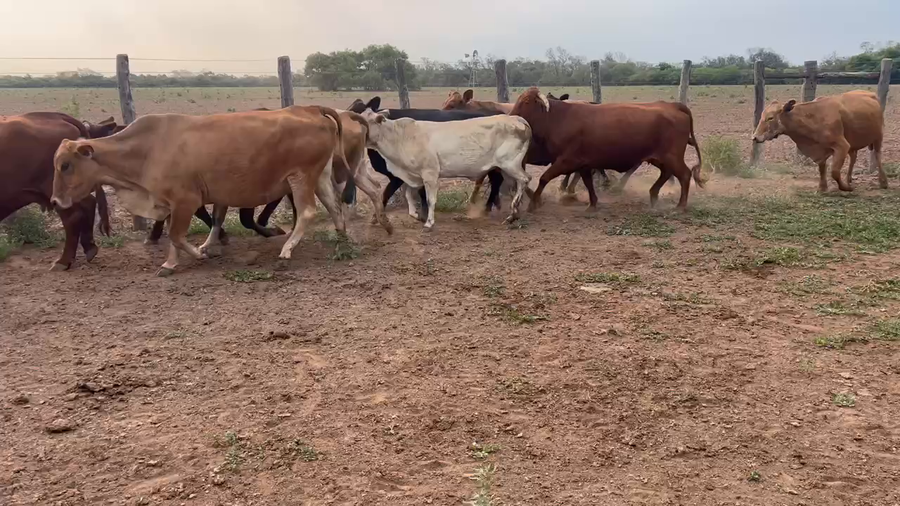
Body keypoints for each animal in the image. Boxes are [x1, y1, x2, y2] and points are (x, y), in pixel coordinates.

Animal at [0, 112, 113, 270]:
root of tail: (56, 116)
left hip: (57, 192)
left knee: (73, 217)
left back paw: (63, 261)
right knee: (88, 204)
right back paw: (89, 248)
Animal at [50, 106, 345, 276]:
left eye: (65, 165)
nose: (54, 201)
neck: (148, 148)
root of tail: (311, 111)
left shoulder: (185, 200)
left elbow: (176, 235)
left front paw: (197, 255)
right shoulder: (173, 202)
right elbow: (186, 231)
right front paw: (174, 262)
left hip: (300, 177)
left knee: (307, 212)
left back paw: (287, 250)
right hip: (319, 176)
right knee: (335, 205)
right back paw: (342, 238)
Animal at [358, 108, 532, 229]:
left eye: (364, 122)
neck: (400, 137)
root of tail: (515, 118)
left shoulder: (430, 174)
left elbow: (430, 199)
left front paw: (429, 222)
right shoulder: (412, 175)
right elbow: (408, 194)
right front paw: (415, 214)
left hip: (510, 164)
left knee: (525, 180)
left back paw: (513, 212)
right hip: (503, 168)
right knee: (513, 185)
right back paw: (512, 214)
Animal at [509, 87, 704, 210]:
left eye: (526, 101)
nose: (510, 115)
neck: (559, 118)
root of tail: (674, 105)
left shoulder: (566, 160)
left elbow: (544, 178)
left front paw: (533, 203)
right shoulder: (582, 163)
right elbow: (587, 182)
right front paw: (592, 204)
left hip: (672, 156)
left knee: (684, 175)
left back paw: (680, 205)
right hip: (660, 158)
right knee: (666, 173)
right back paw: (653, 195)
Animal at [751, 90, 887, 192]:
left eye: (770, 118)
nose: (755, 137)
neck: (814, 117)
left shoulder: (842, 146)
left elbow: (834, 171)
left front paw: (845, 188)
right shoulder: (821, 150)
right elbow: (822, 168)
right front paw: (823, 188)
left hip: (878, 137)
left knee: (878, 155)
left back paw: (883, 182)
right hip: (853, 143)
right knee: (853, 158)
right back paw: (849, 179)